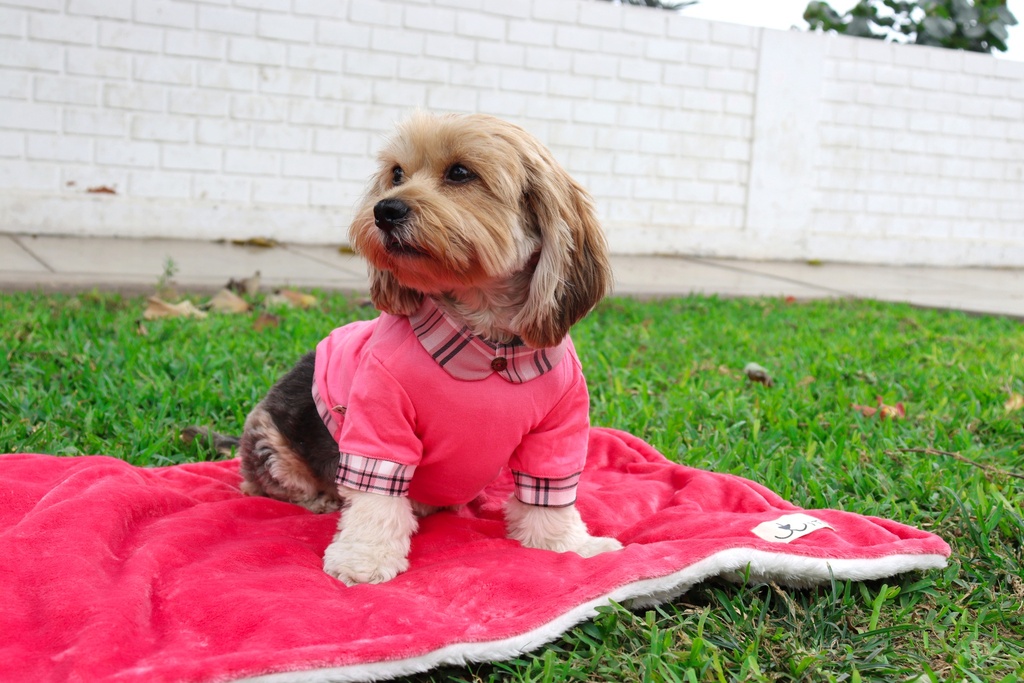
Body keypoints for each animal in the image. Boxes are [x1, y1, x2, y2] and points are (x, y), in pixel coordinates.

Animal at [195, 114, 618, 585]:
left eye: (460, 172)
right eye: (397, 174)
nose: (384, 210)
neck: (486, 340)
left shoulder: (560, 429)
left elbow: (550, 495)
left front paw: (568, 546)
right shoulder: (379, 417)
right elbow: (376, 496)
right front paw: (364, 559)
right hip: (272, 439)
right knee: (268, 483)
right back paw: (322, 499)